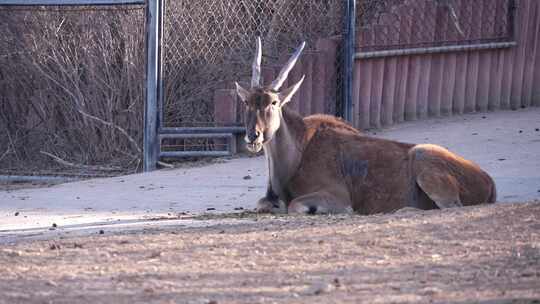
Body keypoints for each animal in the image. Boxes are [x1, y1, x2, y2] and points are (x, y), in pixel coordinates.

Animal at [234, 38, 496, 214]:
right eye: (247, 101)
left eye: (273, 102)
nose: (253, 136)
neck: (299, 151)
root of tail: (489, 181)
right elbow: (263, 204)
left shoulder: (336, 195)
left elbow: (296, 206)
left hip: (424, 156)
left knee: (451, 206)